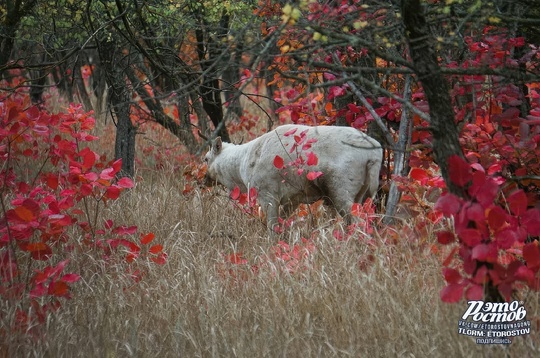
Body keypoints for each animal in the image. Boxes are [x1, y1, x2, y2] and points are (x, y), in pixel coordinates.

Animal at [204, 124, 384, 229]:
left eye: (205, 159)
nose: (203, 180)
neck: (241, 170)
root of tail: (375, 155)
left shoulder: (267, 193)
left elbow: (272, 226)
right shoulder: (293, 198)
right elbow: (282, 223)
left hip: (341, 187)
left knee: (357, 222)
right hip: (361, 191)